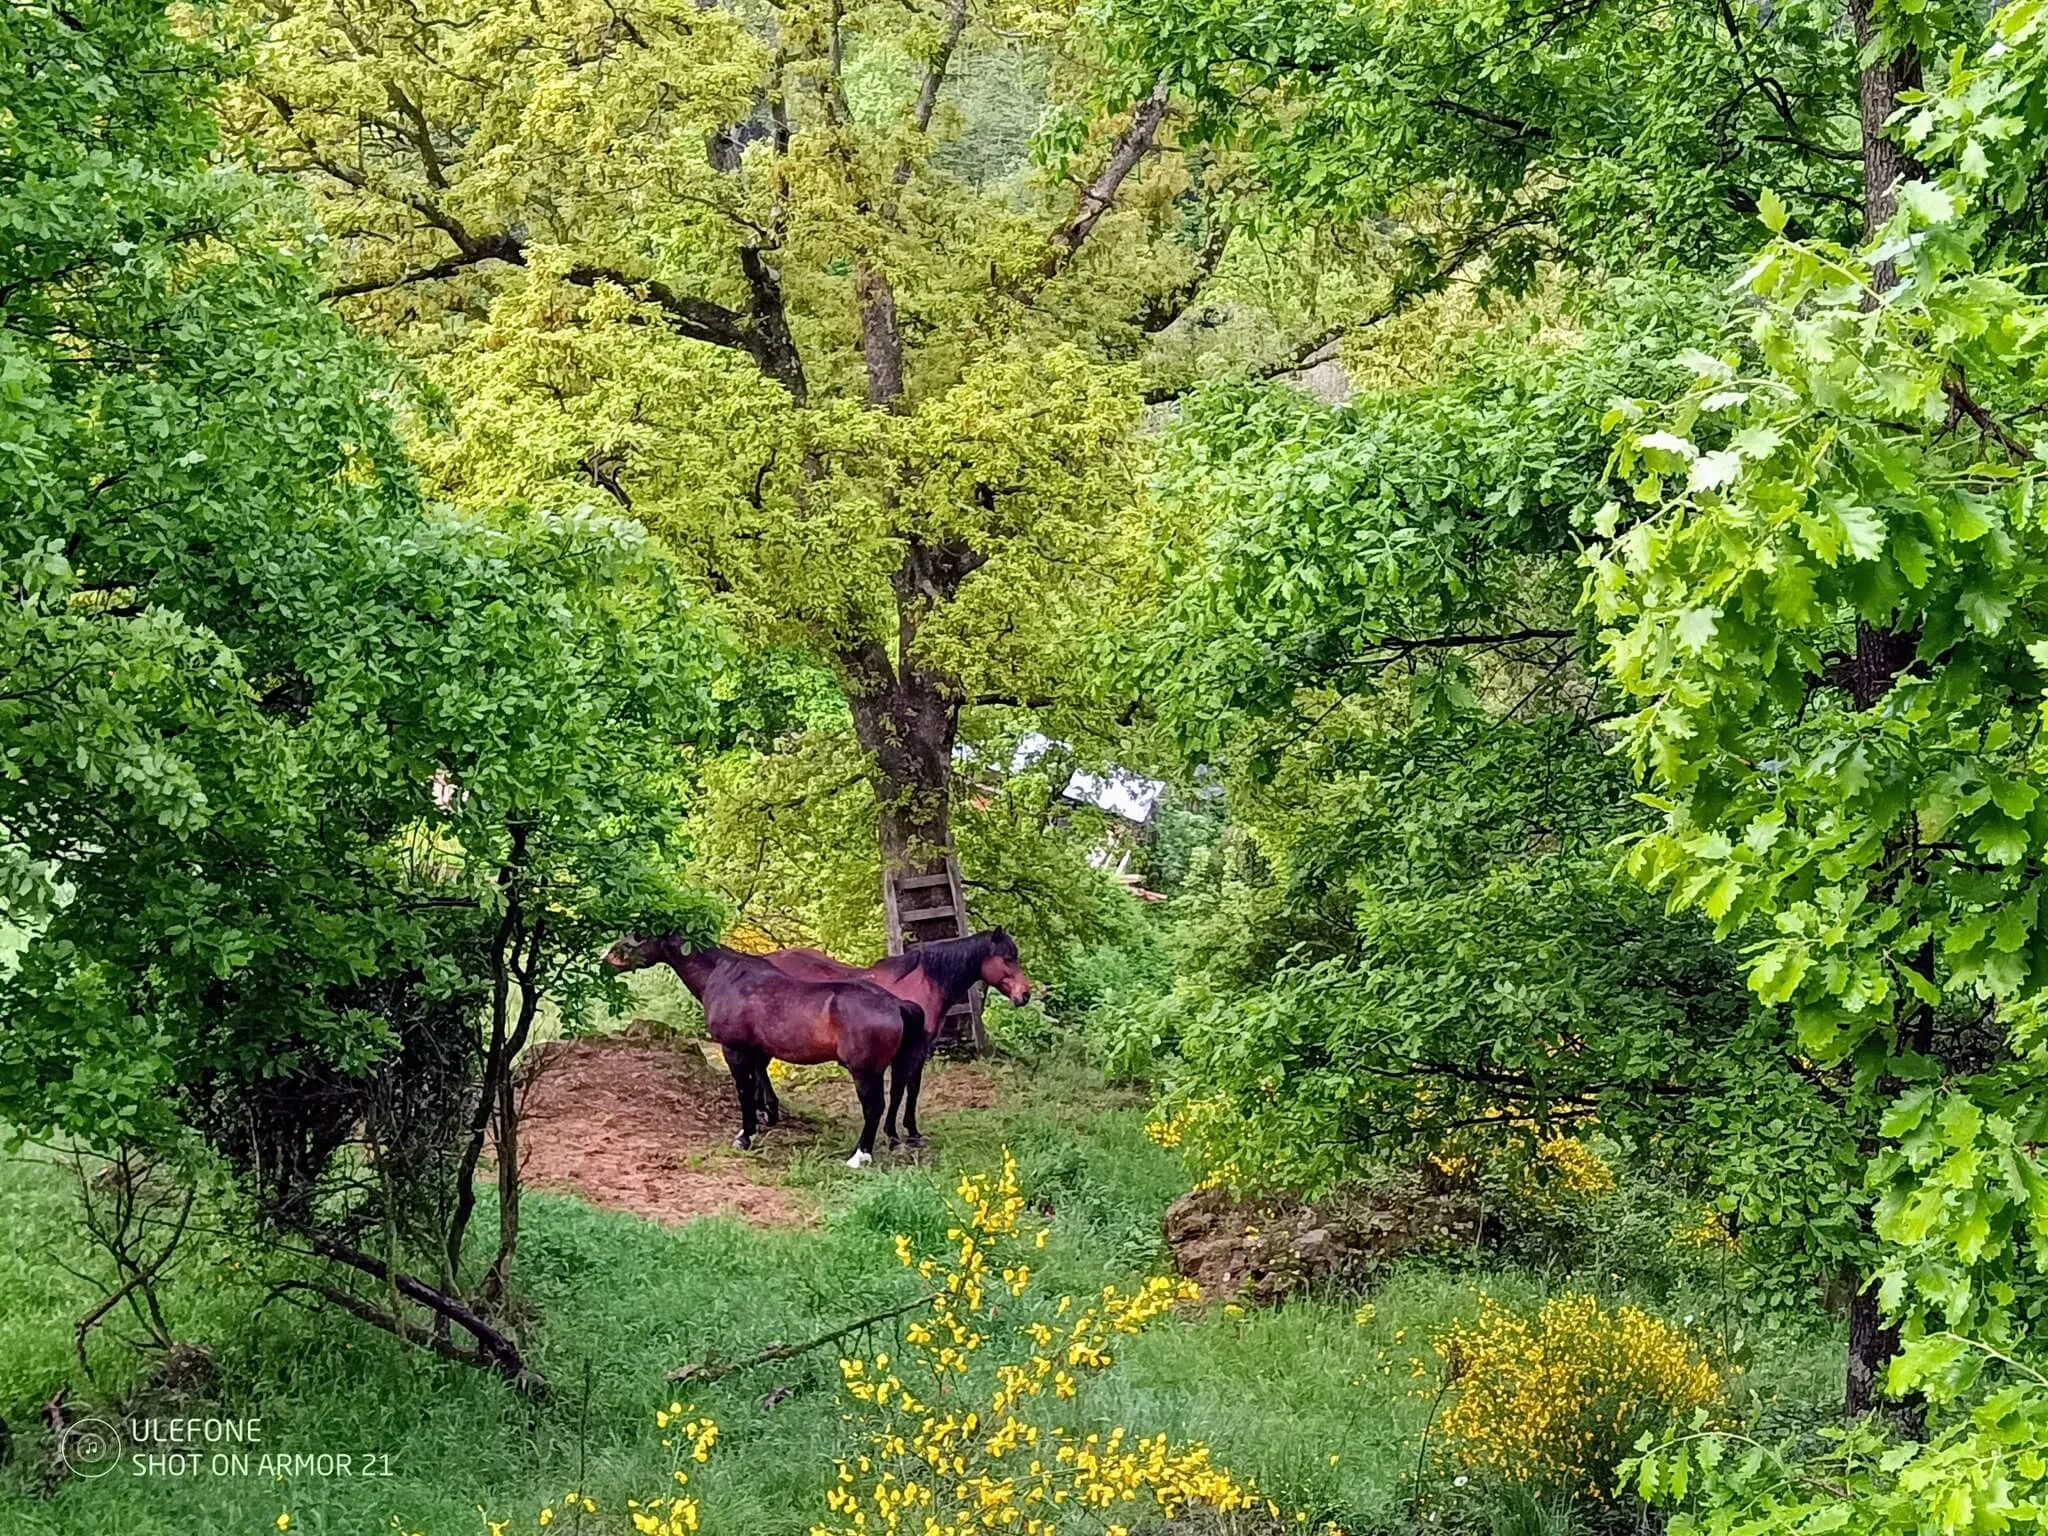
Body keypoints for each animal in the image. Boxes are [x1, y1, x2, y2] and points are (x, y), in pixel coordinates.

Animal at [601, 936, 926, 1168]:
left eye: (639, 936)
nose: (607, 960)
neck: (724, 976)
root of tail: (896, 1003)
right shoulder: (757, 1052)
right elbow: (759, 1087)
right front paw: (765, 1117)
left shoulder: (734, 1050)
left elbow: (744, 1091)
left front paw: (745, 1136)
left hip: (864, 1072)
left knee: (874, 1108)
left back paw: (859, 1157)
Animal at [760, 929, 1032, 1150]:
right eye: (1008, 958)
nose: (1025, 994)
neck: (920, 985)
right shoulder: (907, 1053)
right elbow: (901, 1090)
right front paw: (894, 1134)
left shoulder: (920, 1051)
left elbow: (912, 1089)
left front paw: (911, 1132)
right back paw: (767, 1110)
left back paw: (766, 1110)